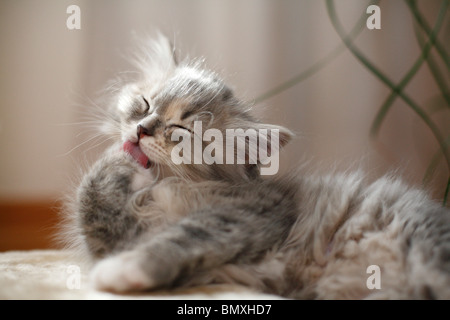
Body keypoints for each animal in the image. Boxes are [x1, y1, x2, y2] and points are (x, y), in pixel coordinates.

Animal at [67, 36, 450, 298]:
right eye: (145, 104)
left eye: (179, 130)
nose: (142, 129)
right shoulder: (117, 234)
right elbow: (91, 196)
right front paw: (119, 159)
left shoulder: (254, 213)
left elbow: (182, 237)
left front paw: (122, 270)